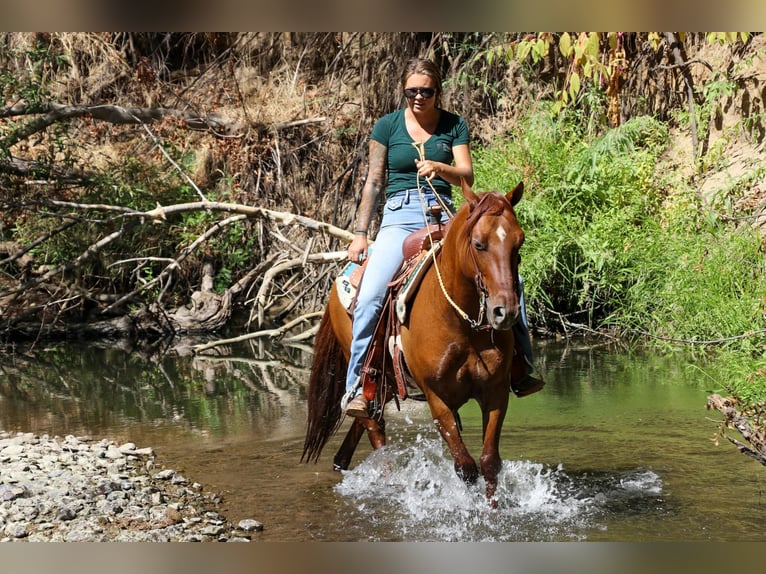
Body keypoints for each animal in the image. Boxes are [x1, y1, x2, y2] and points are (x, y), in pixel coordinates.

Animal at [302, 180, 526, 503]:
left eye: (519, 244)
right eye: (479, 244)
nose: (504, 311)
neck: (462, 321)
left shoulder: (495, 392)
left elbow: (489, 463)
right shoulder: (437, 397)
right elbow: (465, 466)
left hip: (384, 384)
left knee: (355, 435)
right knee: (375, 429)